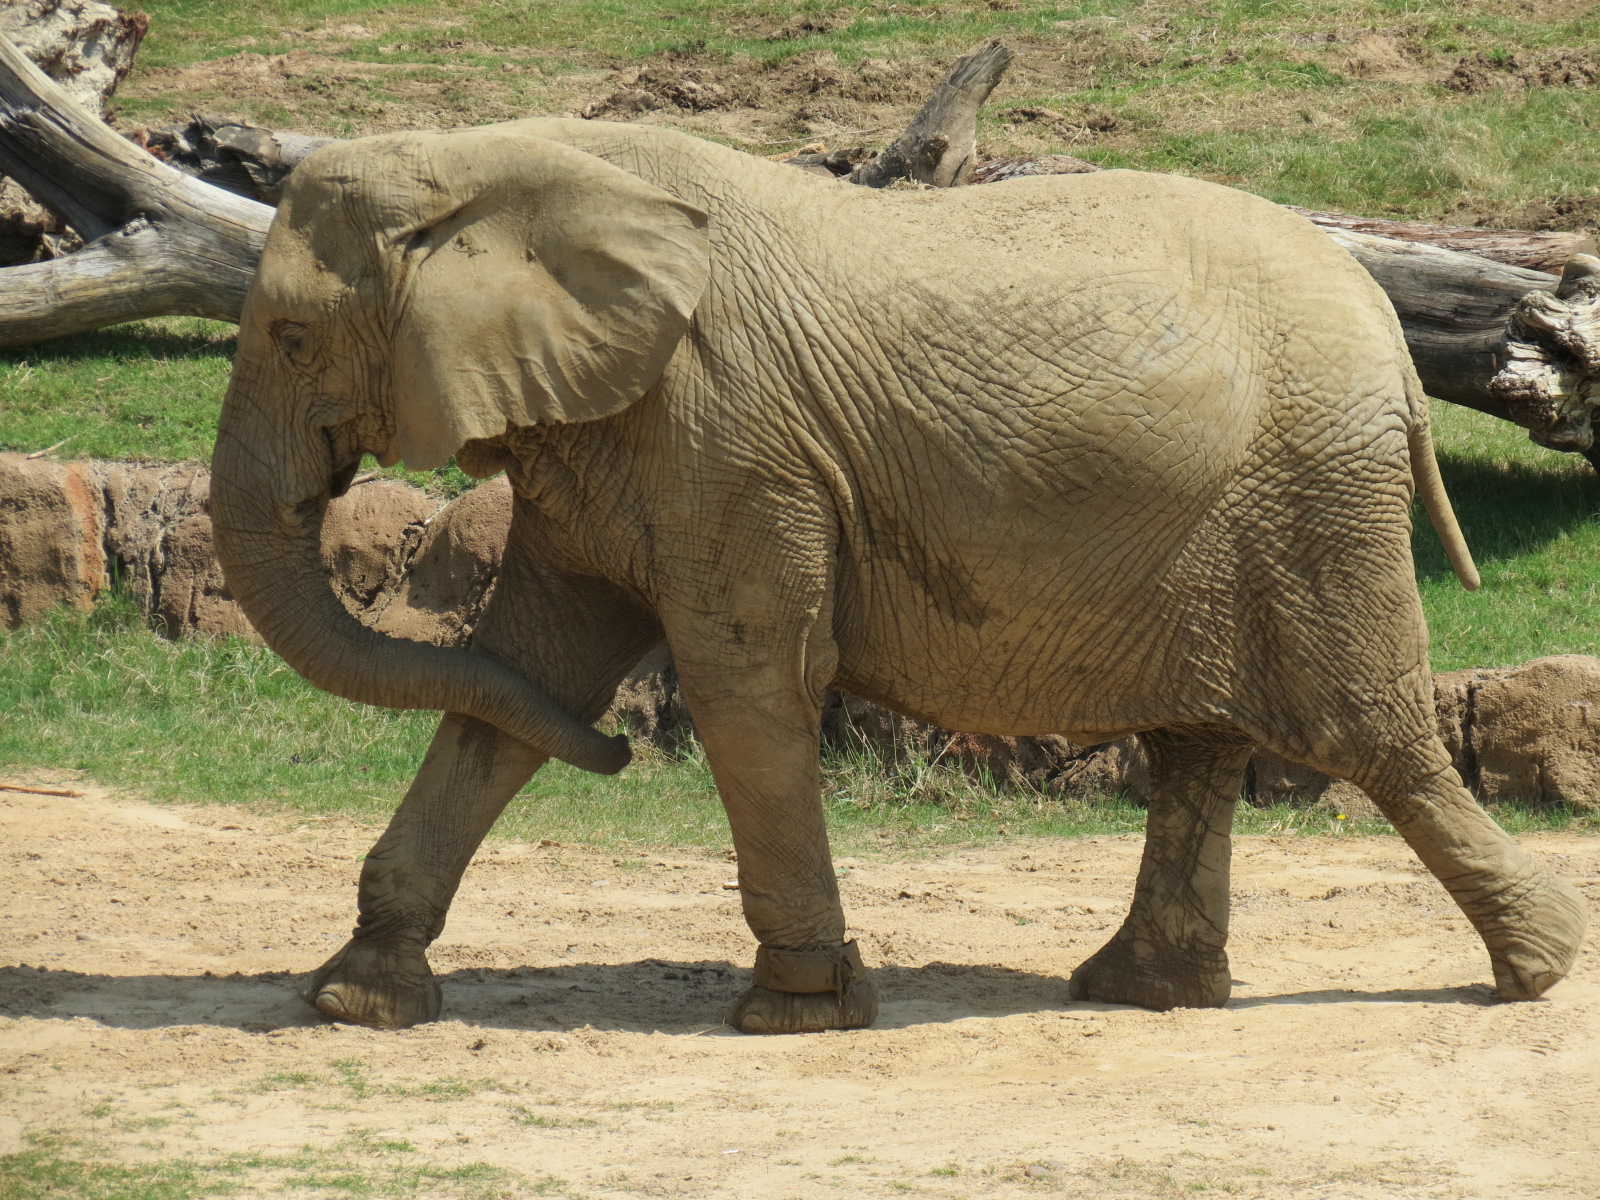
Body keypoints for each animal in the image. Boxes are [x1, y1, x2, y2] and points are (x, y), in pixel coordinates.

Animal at [210, 117, 1588, 1034]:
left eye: (290, 335)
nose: (620, 755)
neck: (484, 158)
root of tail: (1387, 329)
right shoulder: (613, 431)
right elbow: (521, 678)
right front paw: (355, 999)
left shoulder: (725, 431)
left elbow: (745, 679)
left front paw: (798, 1009)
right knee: (1199, 739)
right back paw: (1137, 993)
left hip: (1312, 499)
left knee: (1365, 732)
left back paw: (1537, 972)